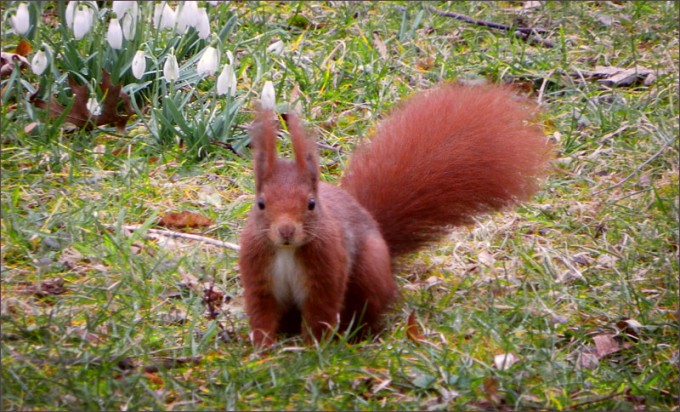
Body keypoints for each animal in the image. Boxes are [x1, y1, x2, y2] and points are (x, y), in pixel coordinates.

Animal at [238, 83, 552, 347]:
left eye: (312, 204)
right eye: (261, 204)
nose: (286, 231)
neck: (286, 252)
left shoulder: (326, 272)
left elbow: (320, 315)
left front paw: (312, 351)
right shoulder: (259, 278)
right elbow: (262, 314)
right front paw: (262, 351)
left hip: (369, 271)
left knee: (367, 311)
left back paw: (357, 337)